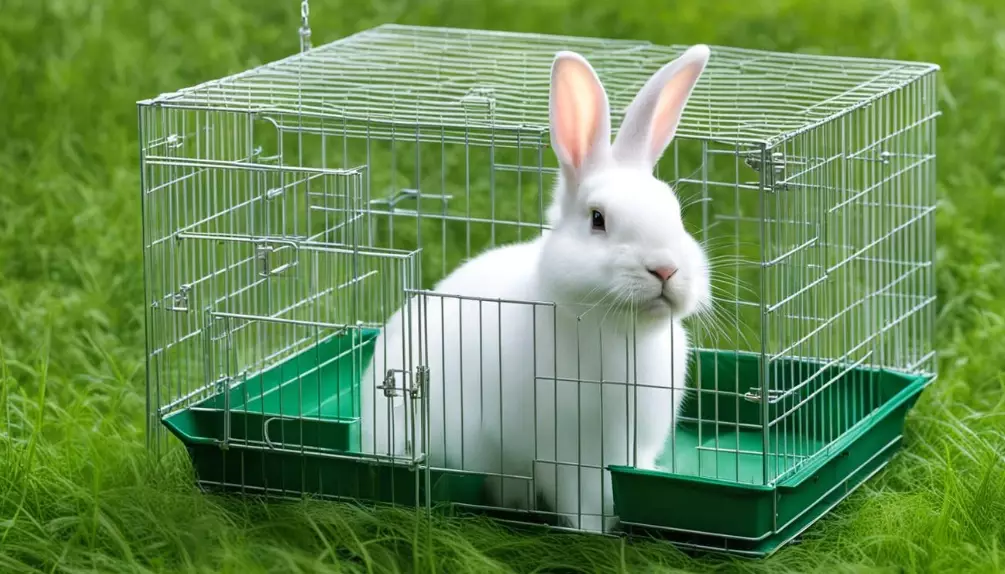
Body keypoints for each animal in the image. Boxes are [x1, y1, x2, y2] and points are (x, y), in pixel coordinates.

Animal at [358, 44, 713, 534]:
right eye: (598, 219)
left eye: (677, 215)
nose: (666, 269)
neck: (618, 331)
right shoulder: (567, 457)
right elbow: (583, 504)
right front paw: (594, 535)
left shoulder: (630, 446)